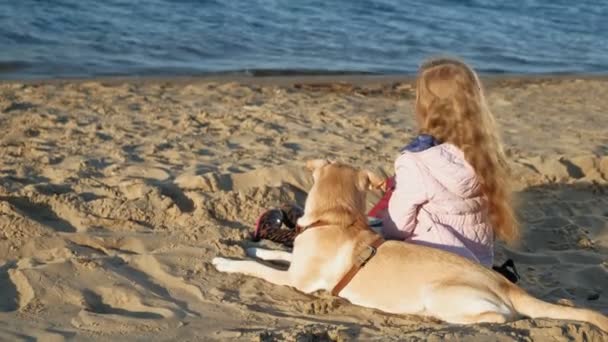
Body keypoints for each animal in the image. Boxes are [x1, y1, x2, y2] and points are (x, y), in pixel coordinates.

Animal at [211, 160, 604, 332]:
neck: (335, 218)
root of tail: (506, 284)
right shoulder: (296, 265)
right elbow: (277, 253)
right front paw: (251, 248)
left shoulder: (295, 281)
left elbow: (259, 268)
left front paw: (226, 261)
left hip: (443, 293)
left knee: (502, 317)